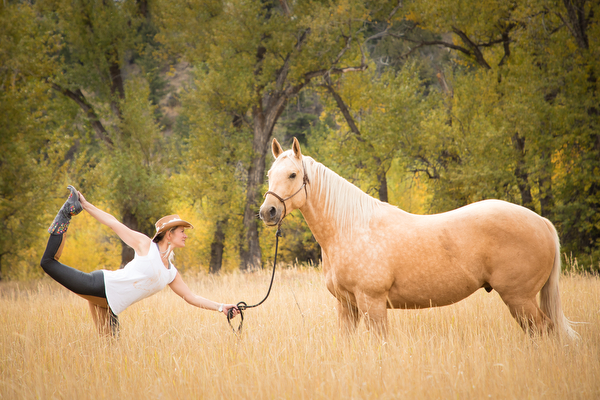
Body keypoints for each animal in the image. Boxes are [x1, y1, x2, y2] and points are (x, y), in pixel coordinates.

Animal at [260, 138, 580, 338]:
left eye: (292, 174)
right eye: (269, 174)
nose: (268, 211)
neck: (350, 228)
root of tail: (542, 223)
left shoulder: (372, 303)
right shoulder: (347, 305)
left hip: (520, 299)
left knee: (544, 330)